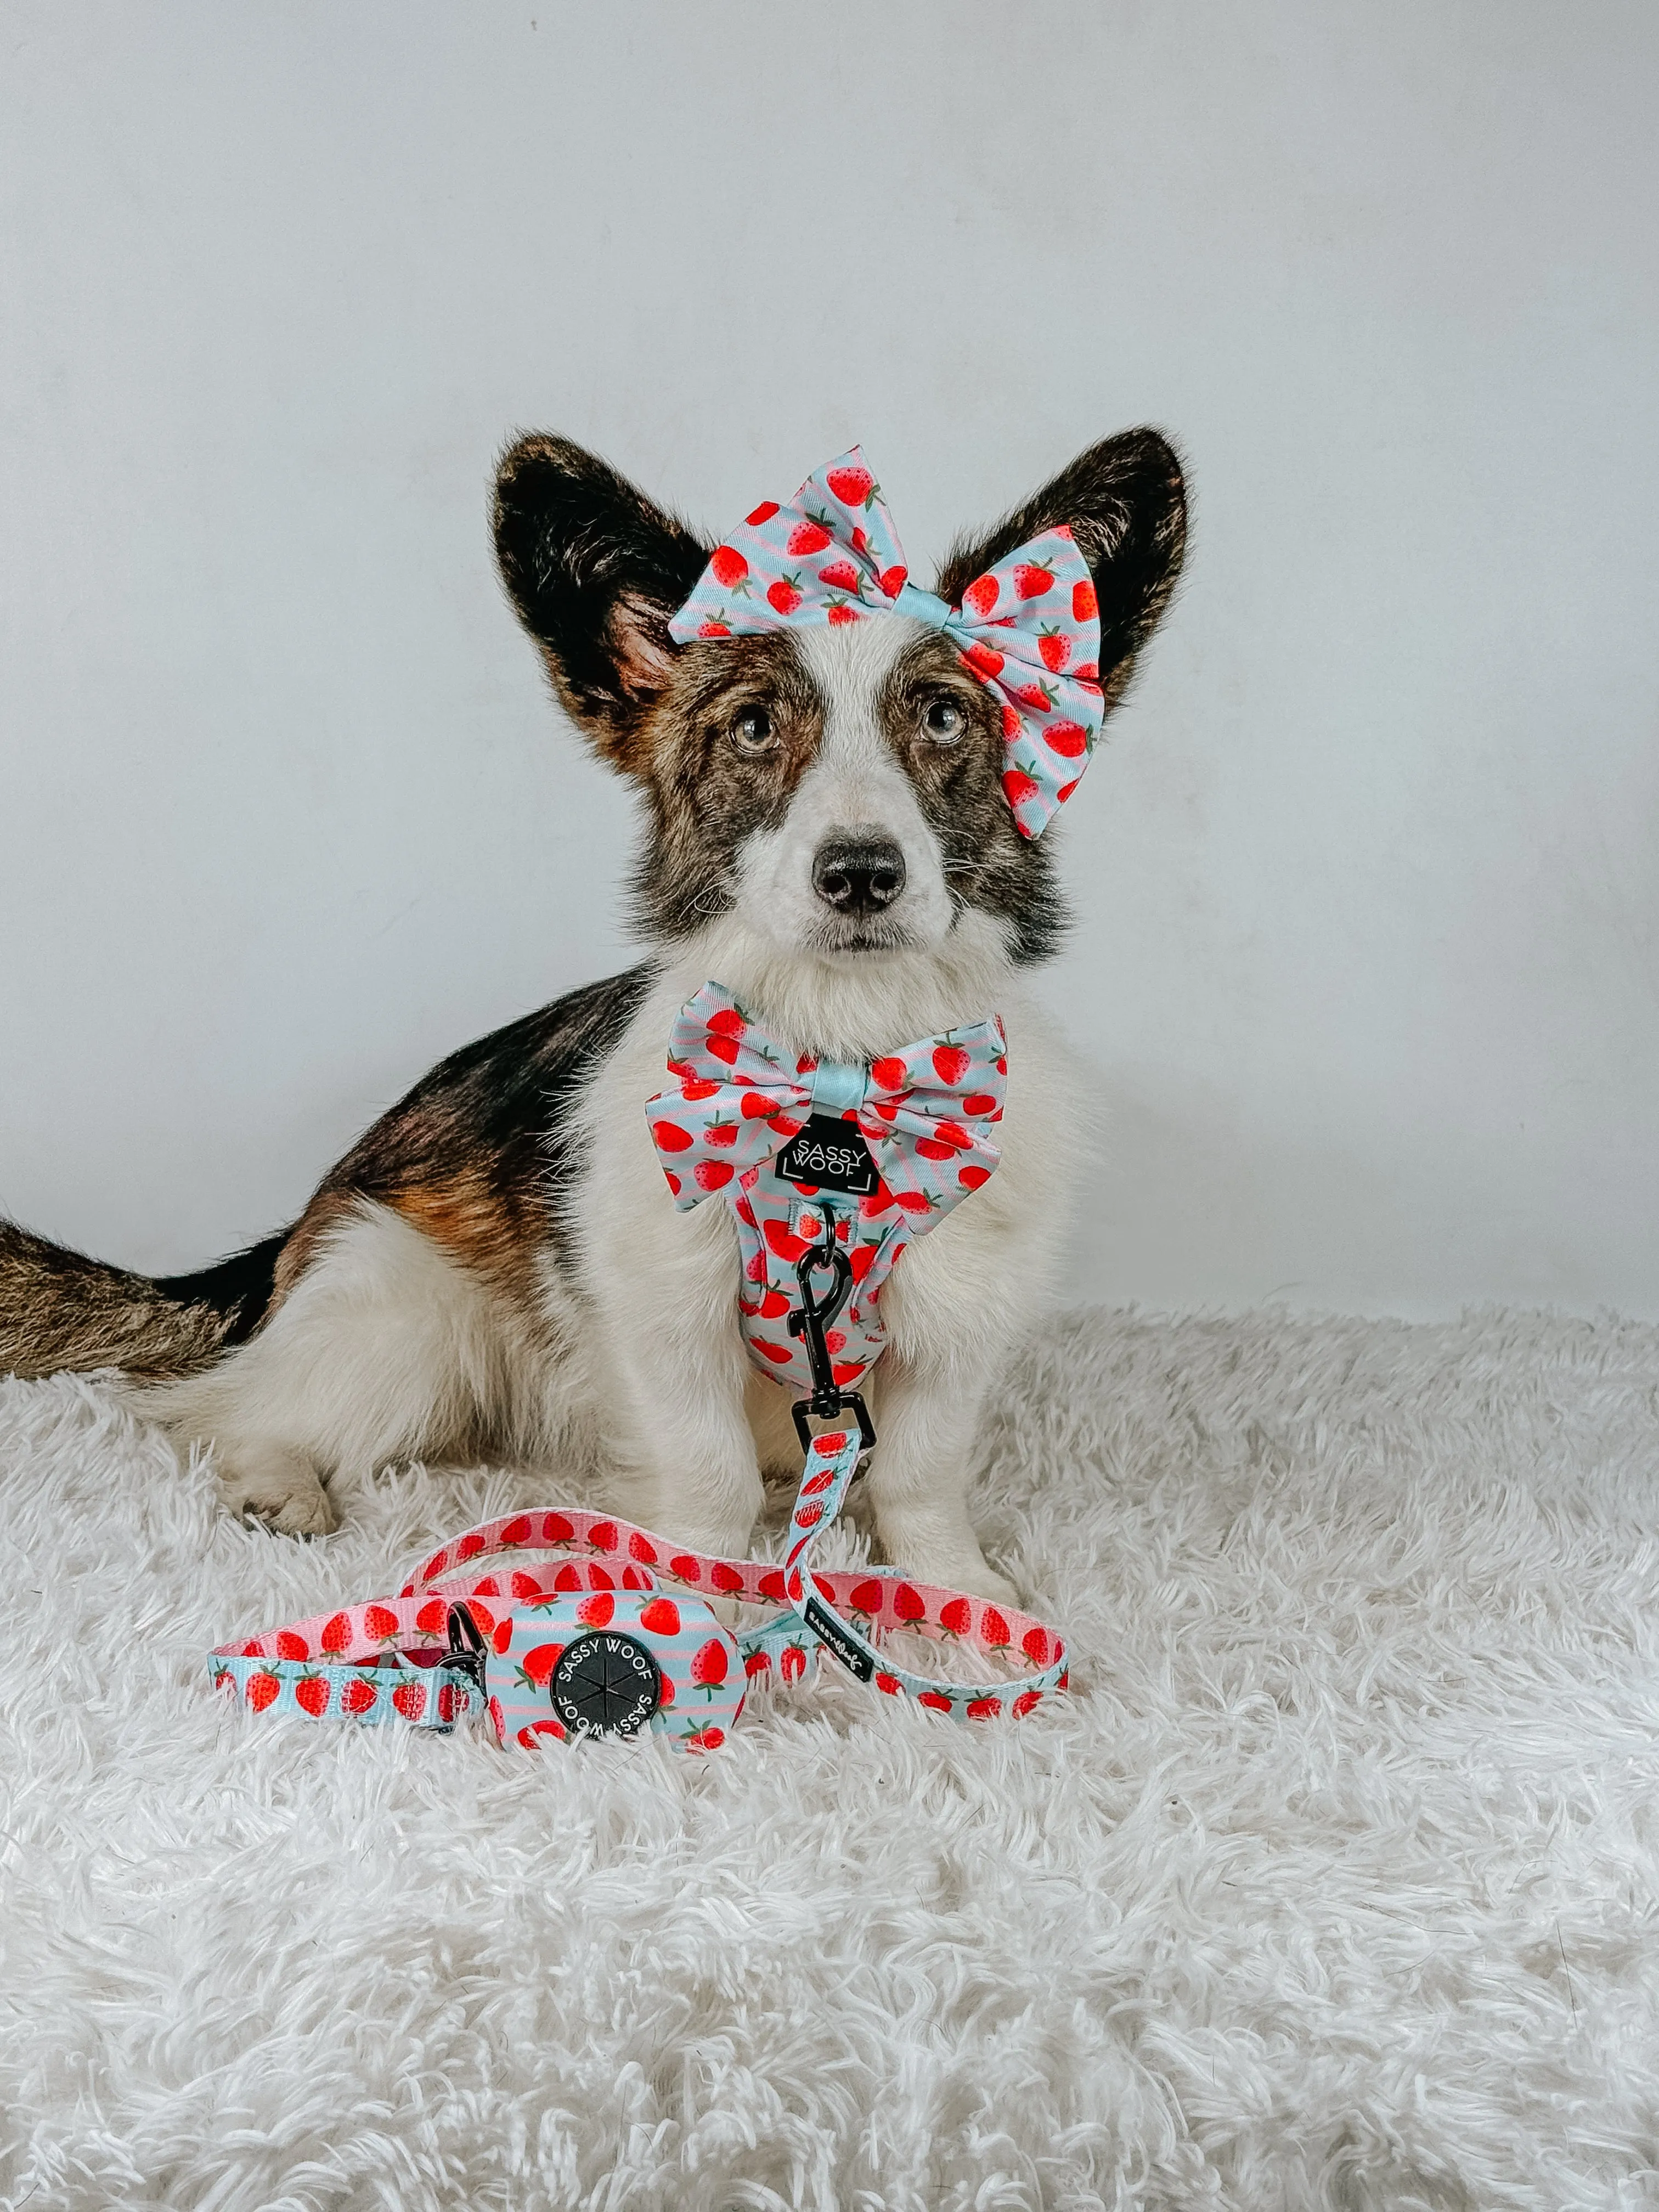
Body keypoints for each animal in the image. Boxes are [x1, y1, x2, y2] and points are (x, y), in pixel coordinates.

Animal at [3, 431, 1194, 1610]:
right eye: (754, 726)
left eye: (942, 716)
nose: (861, 875)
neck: (835, 1070)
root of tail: (287, 1249)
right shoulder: (662, 1312)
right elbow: (708, 1475)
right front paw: (697, 1593)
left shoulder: (956, 1318)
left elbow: (921, 1475)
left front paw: (955, 1597)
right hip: (405, 1318)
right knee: (225, 1408)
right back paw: (277, 1479)